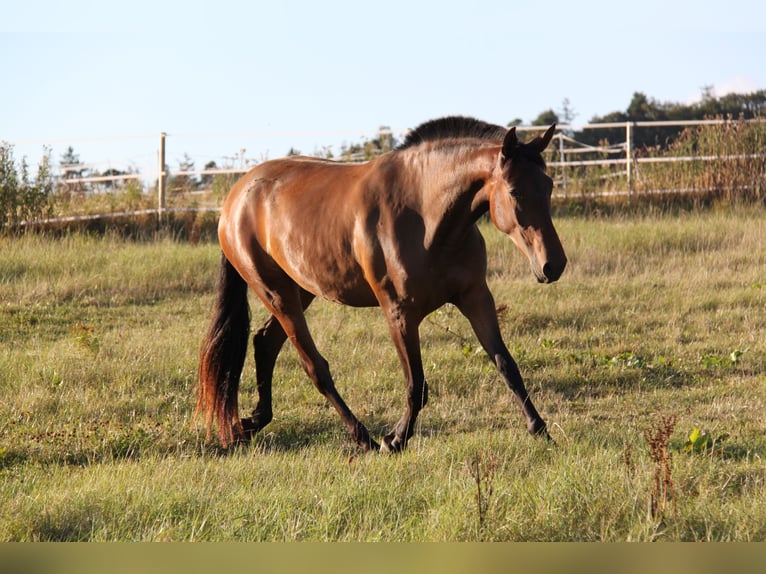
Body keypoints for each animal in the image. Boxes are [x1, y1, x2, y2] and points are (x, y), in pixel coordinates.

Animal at [196, 116, 568, 454]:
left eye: (549, 186)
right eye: (515, 191)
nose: (554, 265)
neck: (426, 216)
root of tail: (236, 198)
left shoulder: (476, 298)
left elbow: (507, 365)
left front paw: (540, 430)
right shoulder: (399, 313)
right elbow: (416, 385)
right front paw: (396, 440)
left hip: (299, 290)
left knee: (265, 342)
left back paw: (252, 422)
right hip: (277, 294)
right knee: (314, 367)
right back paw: (363, 438)